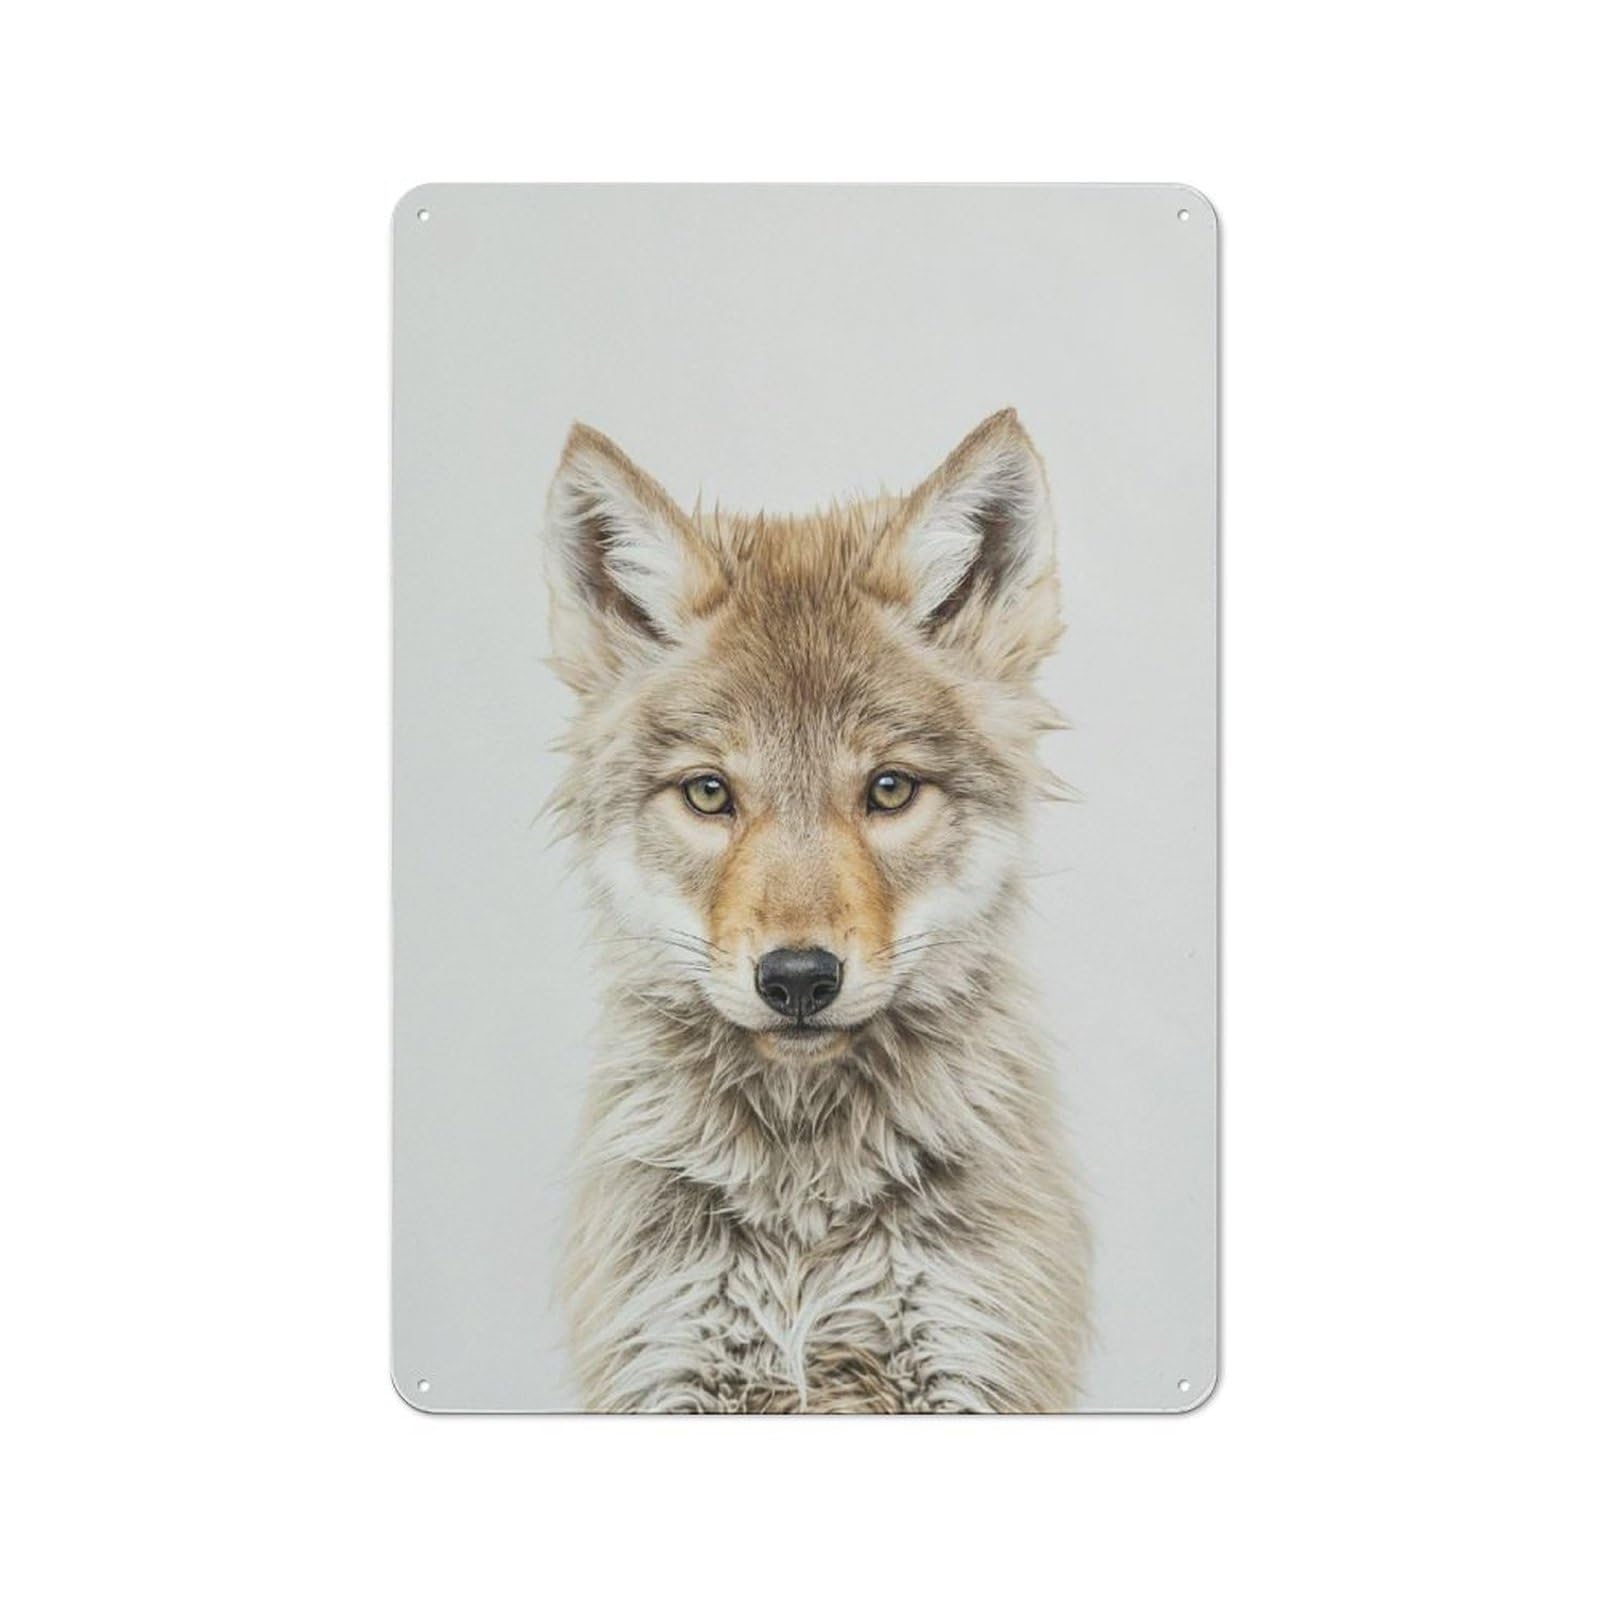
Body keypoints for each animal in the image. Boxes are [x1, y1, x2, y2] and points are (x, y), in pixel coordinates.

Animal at [542, 409, 1088, 1412]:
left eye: (889, 789)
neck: (804, 1214)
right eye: (710, 793)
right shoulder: (667, 1369)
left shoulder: (972, 1366)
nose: (798, 980)